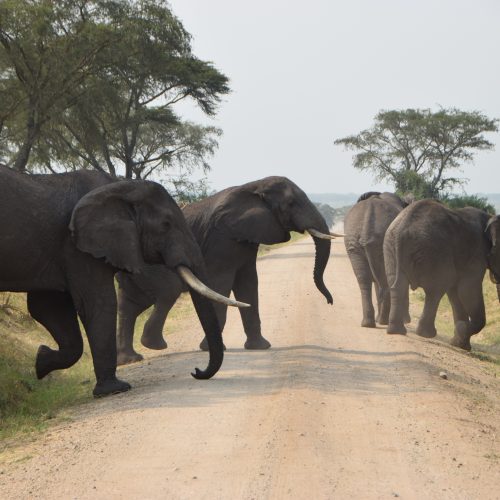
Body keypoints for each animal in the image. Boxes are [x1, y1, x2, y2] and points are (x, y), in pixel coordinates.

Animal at [0, 166, 242, 396]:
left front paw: (41, 361)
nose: (196, 371)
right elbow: (99, 303)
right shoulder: (78, 248)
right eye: (165, 225)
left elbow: (47, 307)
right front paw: (116, 389)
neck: (120, 187)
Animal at [116, 176, 336, 364]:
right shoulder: (221, 239)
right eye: (291, 203)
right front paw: (211, 348)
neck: (254, 186)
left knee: (131, 304)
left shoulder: (247, 237)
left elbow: (248, 283)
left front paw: (260, 347)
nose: (329, 302)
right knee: (168, 290)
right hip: (149, 264)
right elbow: (220, 284)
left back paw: (131, 359)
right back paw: (153, 346)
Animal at [344, 191, 410, 328]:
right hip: (380, 243)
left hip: (353, 243)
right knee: (384, 282)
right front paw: (406, 320)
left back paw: (370, 322)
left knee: (364, 280)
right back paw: (382, 321)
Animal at [382, 200, 500, 352]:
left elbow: (455, 293)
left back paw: (396, 331)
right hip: (434, 251)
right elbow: (467, 290)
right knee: (436, 289)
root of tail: (402, 229)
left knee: (398, 286)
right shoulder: (476, 253)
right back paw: (426, 334)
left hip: (390, 247)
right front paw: (461, 331)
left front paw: (459, 343)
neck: (490, 218)